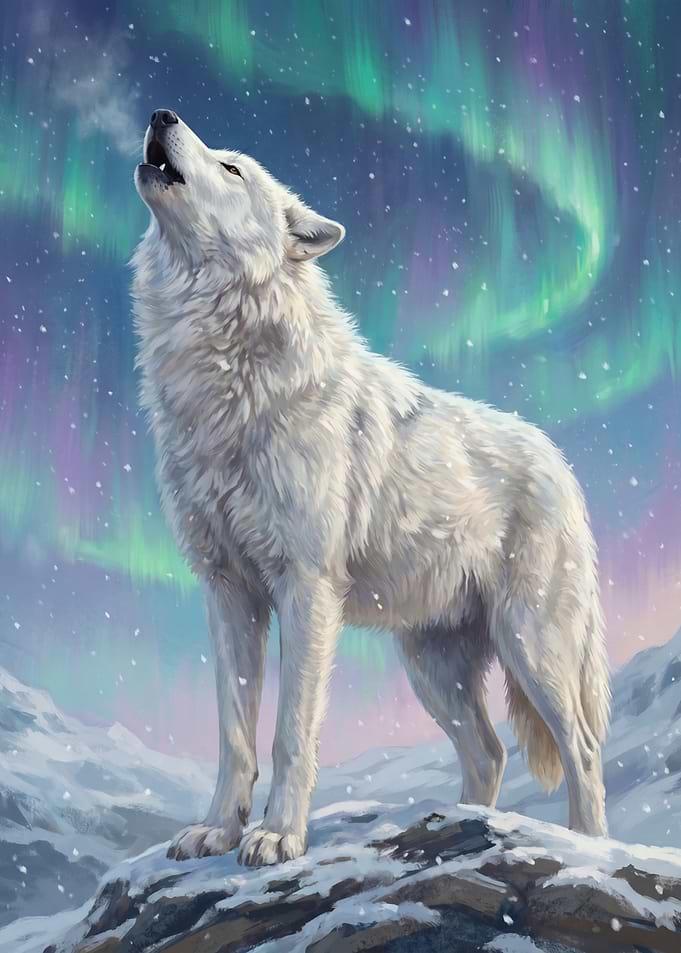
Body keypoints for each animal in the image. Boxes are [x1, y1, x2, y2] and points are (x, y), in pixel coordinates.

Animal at [132, 109, 610, 867]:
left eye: (232, 167)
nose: (161, 115)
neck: (226, 380)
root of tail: (559, 462)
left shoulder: (305, 587)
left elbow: (289, 733)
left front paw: (278, 835)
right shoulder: (226, 590)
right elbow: (233, 734)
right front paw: (217, 831)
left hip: (532, 644)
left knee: (584, 750)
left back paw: (588, 847)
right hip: (432, 666)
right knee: (490, 752)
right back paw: (464, 825)